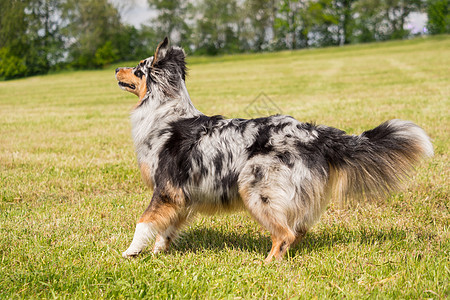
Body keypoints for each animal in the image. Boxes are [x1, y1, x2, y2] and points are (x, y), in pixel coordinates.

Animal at [115, 38, 432, 262]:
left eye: (138, 67)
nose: (116, 68)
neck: (165, 113)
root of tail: (314, 134)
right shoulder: (181, 196)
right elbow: (165, 229)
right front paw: (158, 253)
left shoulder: (167, 188)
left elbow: (144, 222)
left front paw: (131, 252)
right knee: (298, 231)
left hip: (256, 189)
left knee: (285, 234)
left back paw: (266, 264)